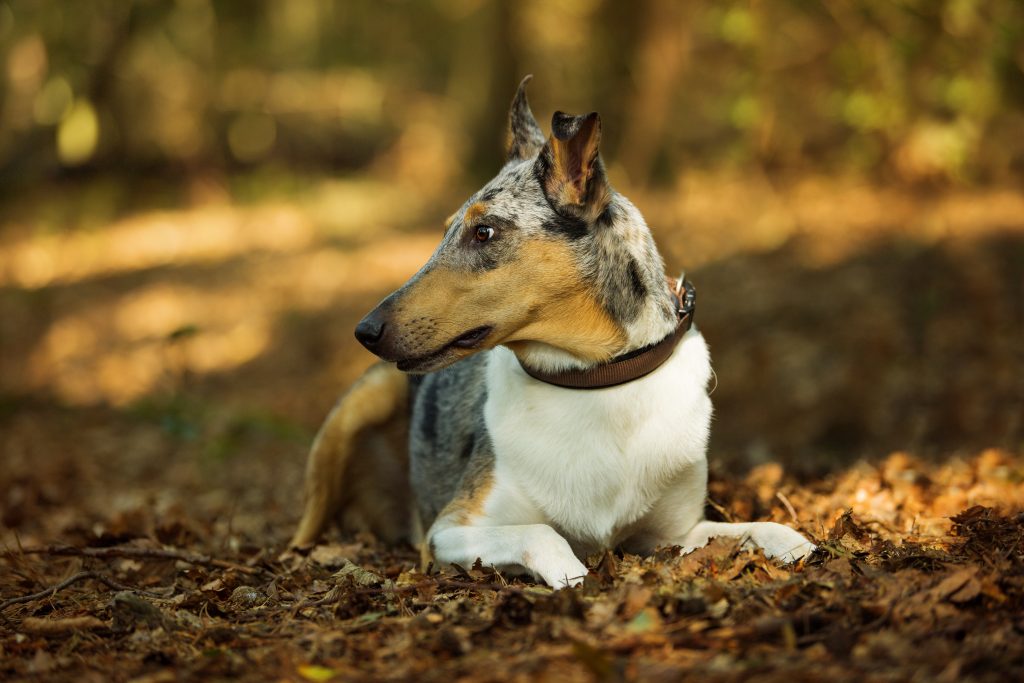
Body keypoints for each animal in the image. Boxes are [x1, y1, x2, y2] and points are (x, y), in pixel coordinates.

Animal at [290, 76, 815, 589]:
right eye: (446, 231)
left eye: (484, 232)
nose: (365, 331)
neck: (591, 381)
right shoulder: (450, 530)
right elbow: (543, 533)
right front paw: (577, 578)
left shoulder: (676, 533)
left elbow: (754, 528)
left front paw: (800, 543)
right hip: (360, 407)